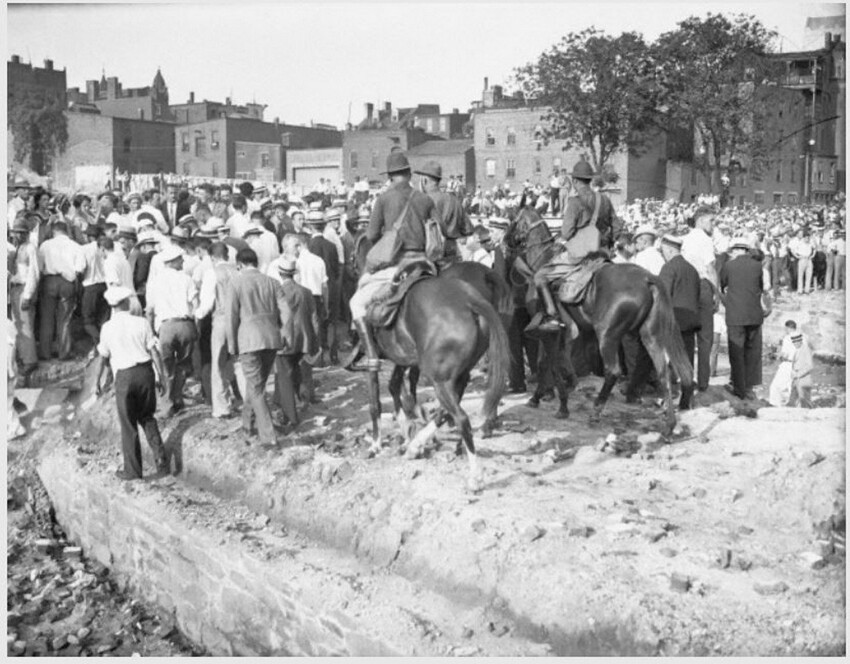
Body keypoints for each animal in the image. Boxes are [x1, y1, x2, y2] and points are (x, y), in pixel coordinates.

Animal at [362, 270, 506, 492]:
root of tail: (468, 300)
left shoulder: (374, 353)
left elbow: (375, 399)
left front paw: (376, 444)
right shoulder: (405, 359)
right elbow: (394, 386)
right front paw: (407, 431)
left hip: (440, 380)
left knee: (461, 418)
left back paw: (475, 477)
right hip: (457, 376)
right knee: (445, 412)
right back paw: (417, 445)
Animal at [504, 210, 688, 434]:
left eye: (513, 220)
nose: (505, 242)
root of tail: (647, 279)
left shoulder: (549, 333)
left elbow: (547, 364)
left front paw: (553, 402)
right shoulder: (567, 334)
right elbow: (558, 362)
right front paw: (559, 392)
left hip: (607, 336)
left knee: (613, 372)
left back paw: (597, 411)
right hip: (650, 336)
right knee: (662, 372)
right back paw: (669, 425)